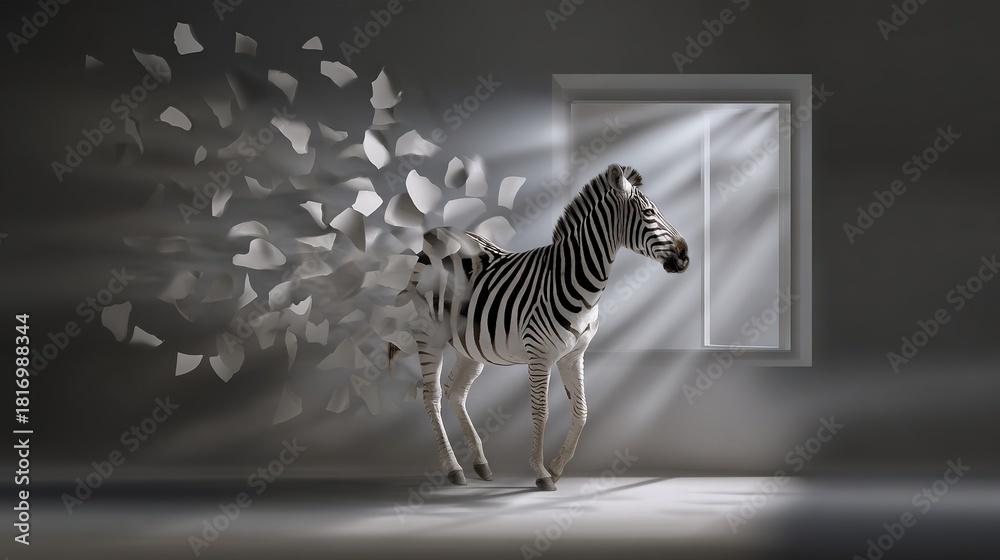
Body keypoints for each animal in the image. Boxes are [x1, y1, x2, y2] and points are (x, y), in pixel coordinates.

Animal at [388, 163, 688, 491]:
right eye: (648, 213)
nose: (685, 255)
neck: (576, 281)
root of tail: (434, 239)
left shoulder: (574, 356)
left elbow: (582, 412)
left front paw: (556, 467)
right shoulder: (539, 355)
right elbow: (541, 412)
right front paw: (542, 473)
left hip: (471, 346)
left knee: (455, 391)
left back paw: (481, 464)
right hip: (429, 335)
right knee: (432, 396)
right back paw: (453, 468)